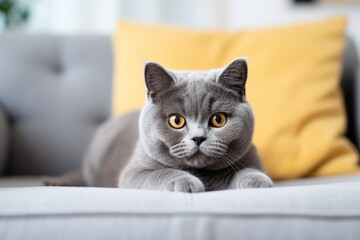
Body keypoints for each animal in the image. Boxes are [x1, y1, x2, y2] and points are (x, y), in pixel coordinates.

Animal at [43, 59, 272, 192]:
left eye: (218, 120)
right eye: (176, 120)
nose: (198, 138)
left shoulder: (250, 157)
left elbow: (247, 169)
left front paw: (257, 181)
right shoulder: (133, 173)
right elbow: (161, 172)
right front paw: (185, 182)